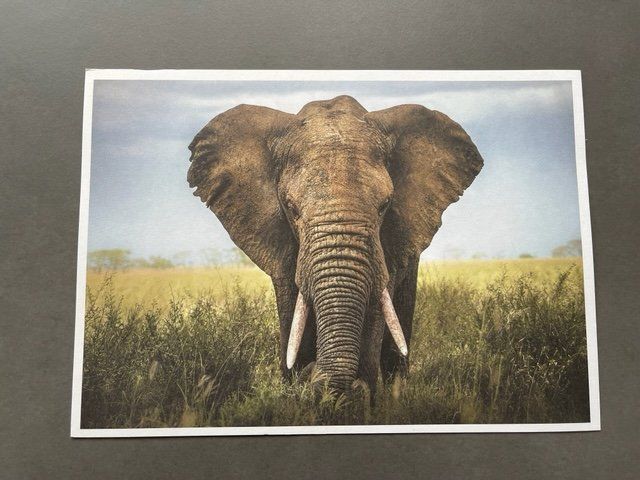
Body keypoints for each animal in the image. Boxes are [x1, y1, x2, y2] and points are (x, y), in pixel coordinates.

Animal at [187, 95, 483, 393]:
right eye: (292, 208)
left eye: (384, 206)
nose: (312, 372)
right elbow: (292, 309)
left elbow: (375, 310)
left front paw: (357, 394)